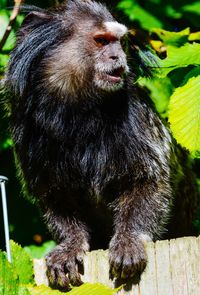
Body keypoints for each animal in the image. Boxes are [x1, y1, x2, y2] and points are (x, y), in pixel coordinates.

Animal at [2, 0, 199, 292]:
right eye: (102, 41)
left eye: (120, 42)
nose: (118, 57)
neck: (76, 113)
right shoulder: (26, 132)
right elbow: (54, 197)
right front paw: (70, 246)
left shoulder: (136, 119)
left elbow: (150, 181)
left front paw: (129, 240)